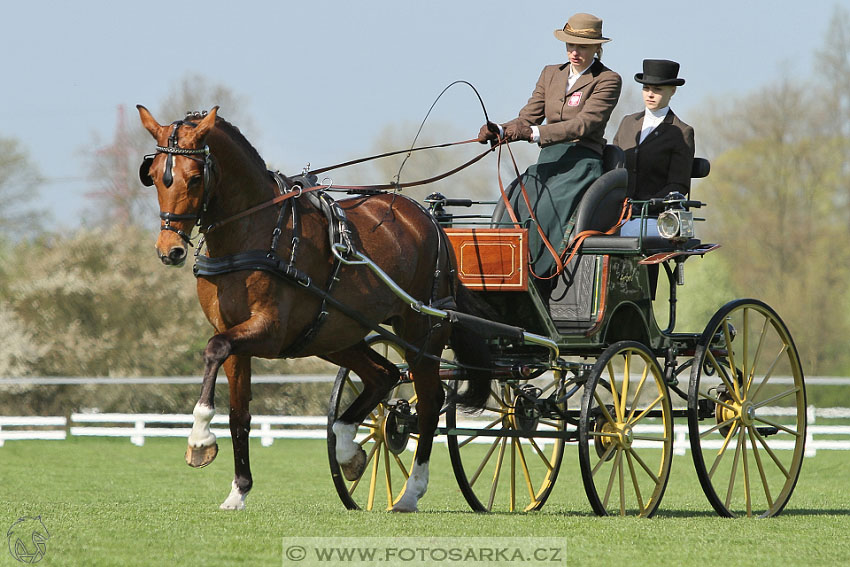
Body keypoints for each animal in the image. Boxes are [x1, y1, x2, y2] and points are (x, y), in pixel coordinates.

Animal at [136, 104, 486, 512]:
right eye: (154, 177)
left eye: (194, 179)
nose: (170, 250)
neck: (252, 233)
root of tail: (428, 219)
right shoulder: (235, 333)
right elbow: (239, 413)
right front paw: (238, 489)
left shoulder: (267, 331)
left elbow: (214, 349)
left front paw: (200, 440)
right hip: (333, 334)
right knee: (383, 375)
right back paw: (349, 451)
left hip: (422, 331)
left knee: (430, 401)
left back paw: (411, 491)